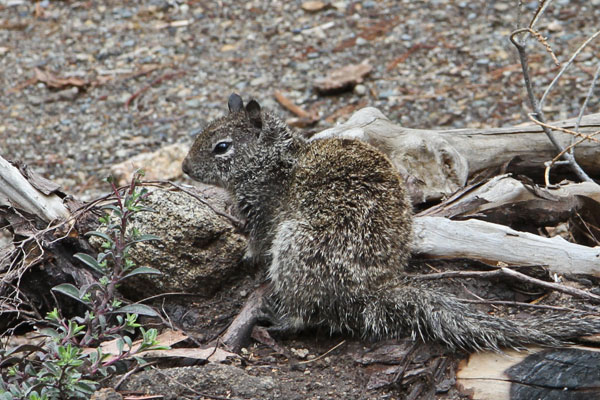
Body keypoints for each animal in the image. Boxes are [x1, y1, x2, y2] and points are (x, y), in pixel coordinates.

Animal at [182, 93, 600, 351]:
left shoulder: (264, 214)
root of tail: (372, 292)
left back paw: (280, 318)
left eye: (221, 147)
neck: (273, 161)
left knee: (308, 314)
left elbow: (256, 243)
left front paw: (246, 259)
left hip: (295, 247)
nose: (184, 168)